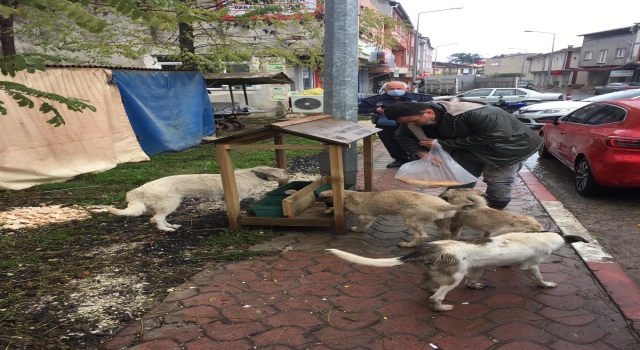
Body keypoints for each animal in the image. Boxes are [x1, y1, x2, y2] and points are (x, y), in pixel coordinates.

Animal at [107, 167, 288, 232]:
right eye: (281, 172)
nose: (289, 172)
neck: (253, 174)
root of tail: (136, 190)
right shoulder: (231, 197)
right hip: (170, 203)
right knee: (156, 219)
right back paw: (166, 230)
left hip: (162, 207)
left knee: (159, 218)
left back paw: (171, 226)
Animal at [328, 232, 588, 312]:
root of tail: (429, 248)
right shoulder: (532, 265)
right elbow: (539, 277)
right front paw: (546, 285)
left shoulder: (477, 267)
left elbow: (475, 278)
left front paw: (475, 286)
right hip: (455, 276)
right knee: (436, 297)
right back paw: (441, 307)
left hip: (441, 272)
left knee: (424, 285)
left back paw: (431, 289)